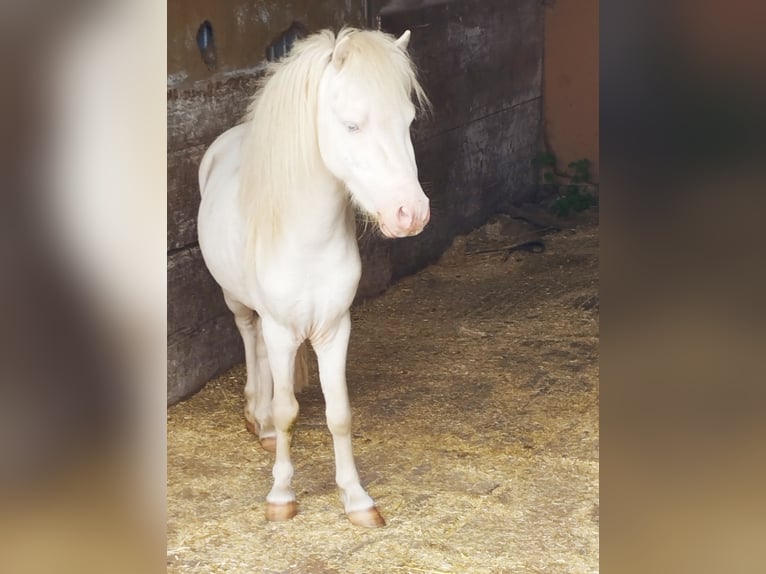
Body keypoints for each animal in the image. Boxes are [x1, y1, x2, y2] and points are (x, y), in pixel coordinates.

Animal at [198, 29, 432, 528]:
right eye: (352, 126)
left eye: (407, 121)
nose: (411, 214)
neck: (307, 239)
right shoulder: (282, 329)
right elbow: (288, 411)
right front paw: (281, 495)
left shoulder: (333, 329)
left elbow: (339, 413)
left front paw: (356, 499)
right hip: (239, 303)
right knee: (249, 338)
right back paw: (257, 415)